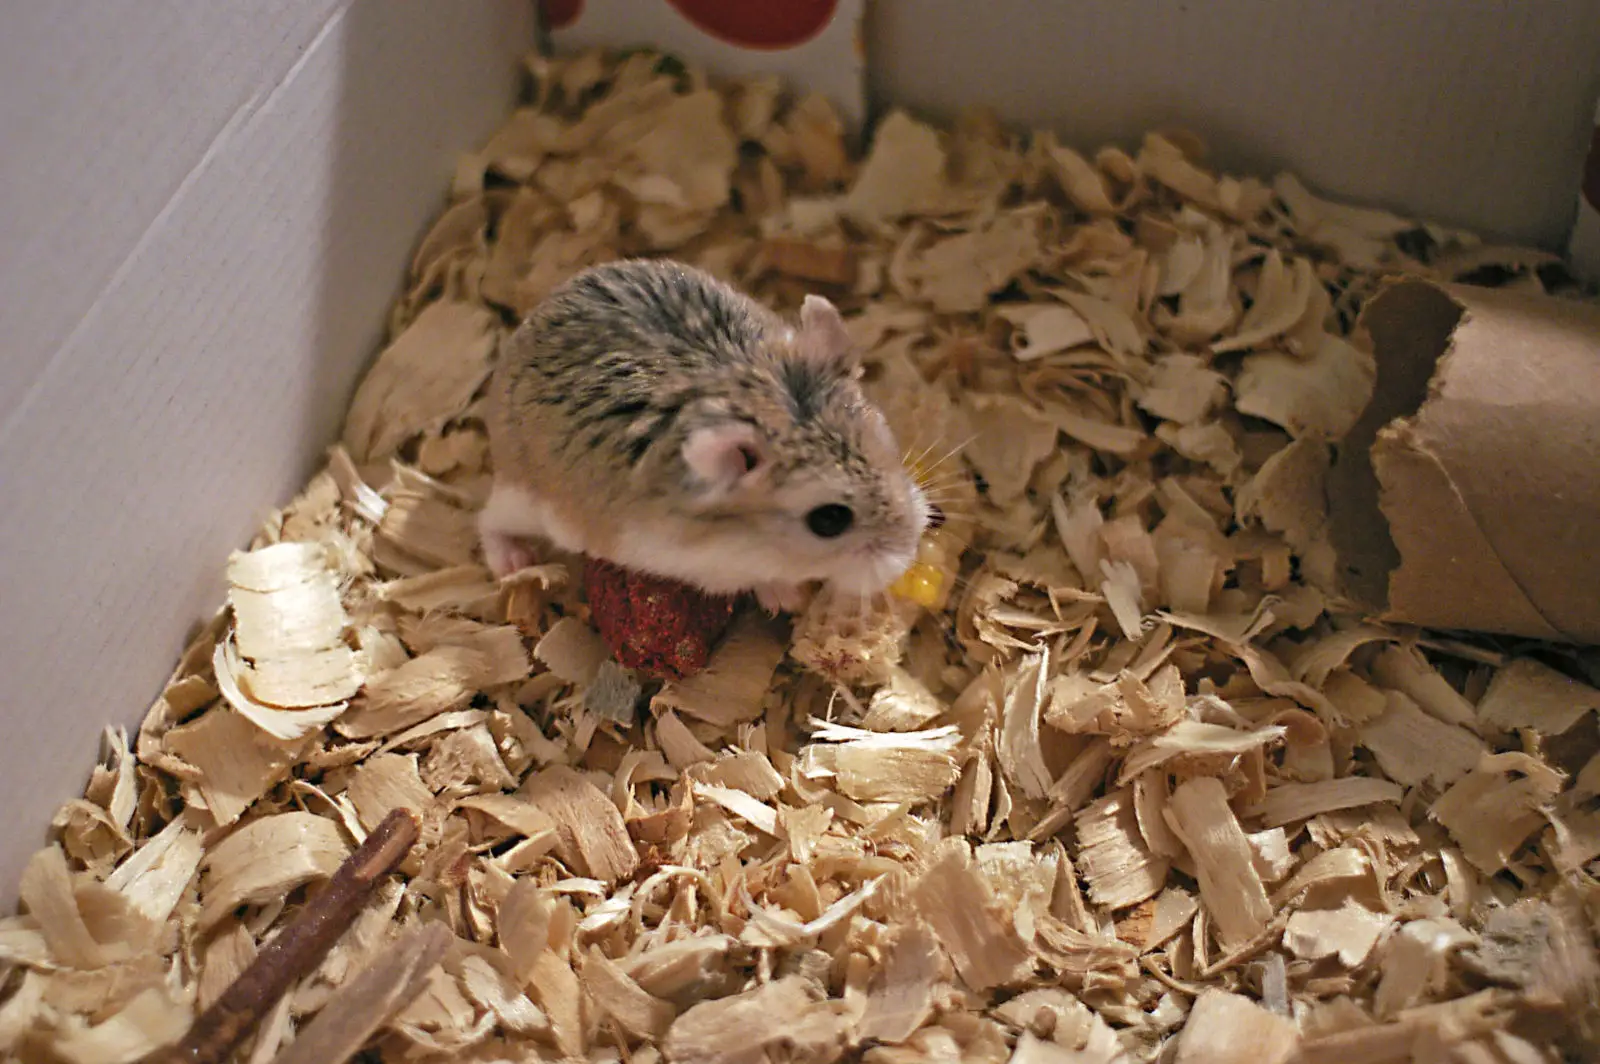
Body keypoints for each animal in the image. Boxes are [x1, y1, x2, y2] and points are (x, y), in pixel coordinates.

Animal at [478, 258, 932, 613]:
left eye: (889, 443)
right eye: (829, 520)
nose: (908, 555)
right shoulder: (700, 565)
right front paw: (789, 599)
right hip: (525, 496)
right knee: (485, 520)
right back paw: (513, 561)